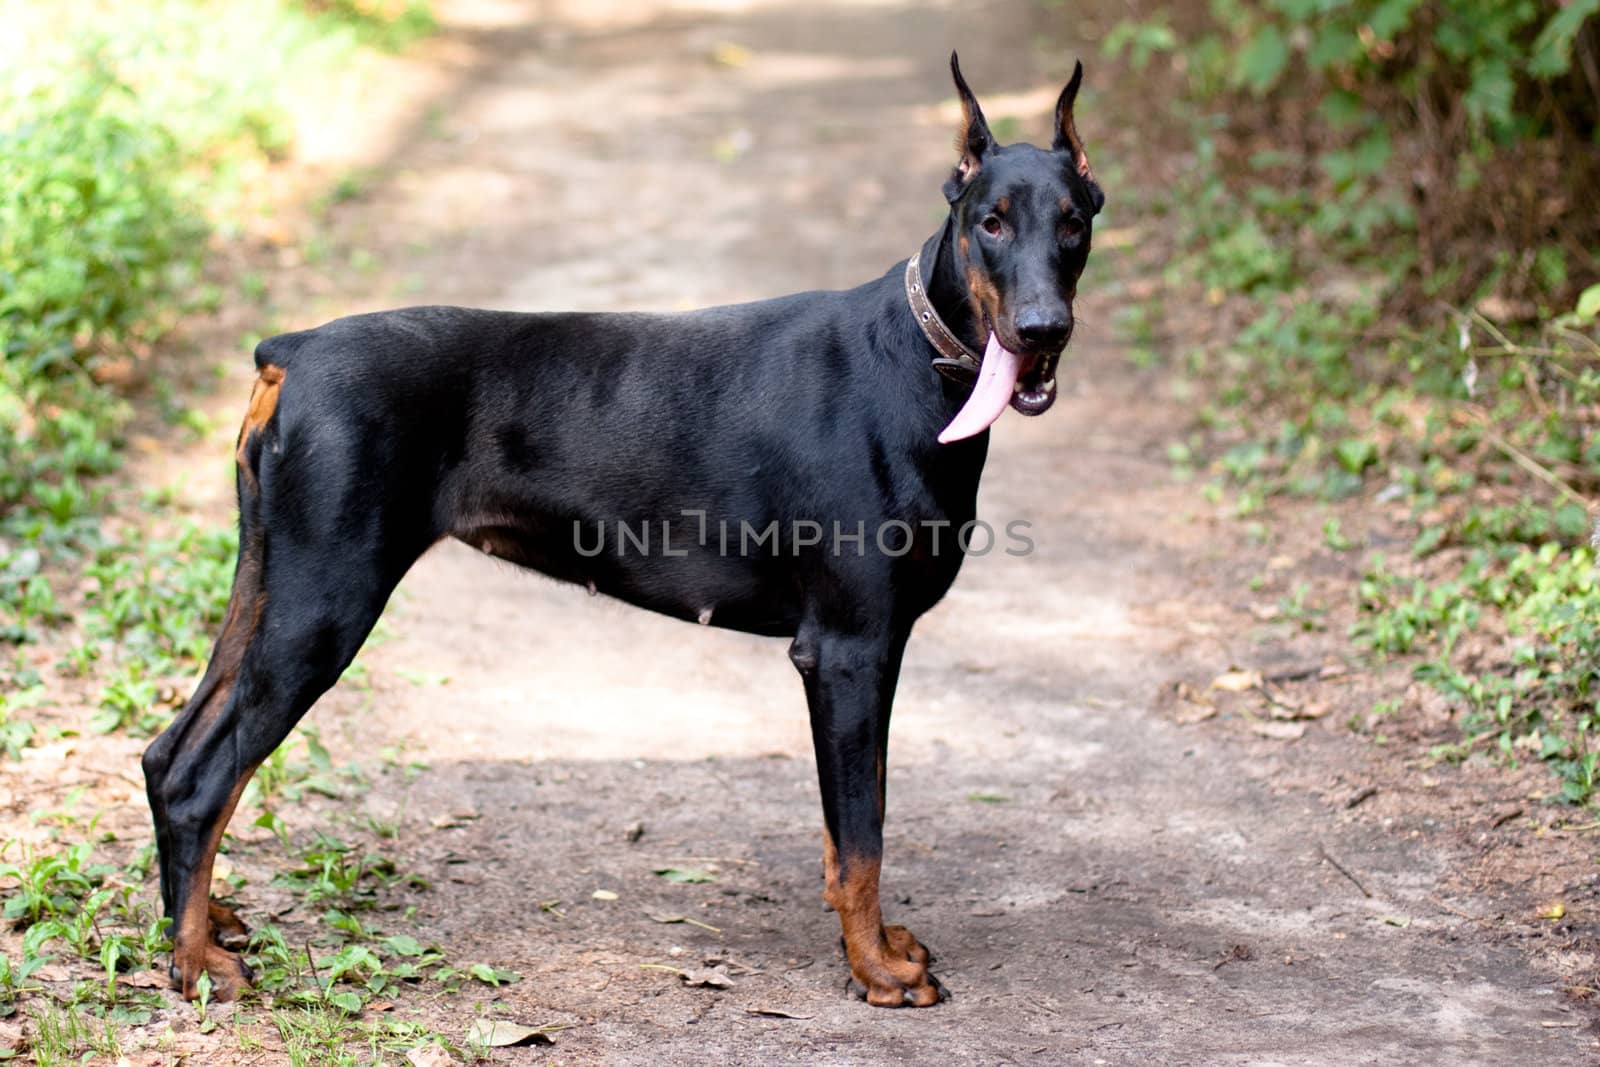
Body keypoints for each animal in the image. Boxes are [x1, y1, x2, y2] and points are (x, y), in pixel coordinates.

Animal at [144, 54, 1100, 1011]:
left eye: (1075, 222)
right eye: (990, 223)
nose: (1043, 331)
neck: (921, 360)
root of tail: (293, 350)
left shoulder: (875, 650)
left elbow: (857, 820)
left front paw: (877, 942)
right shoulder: (848, 647)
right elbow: (860, 833)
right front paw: (875, 968)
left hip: (267, 585)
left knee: (168, 752)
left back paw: (206, 918)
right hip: (324, 601)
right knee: (201, 776)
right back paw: (195, 963)